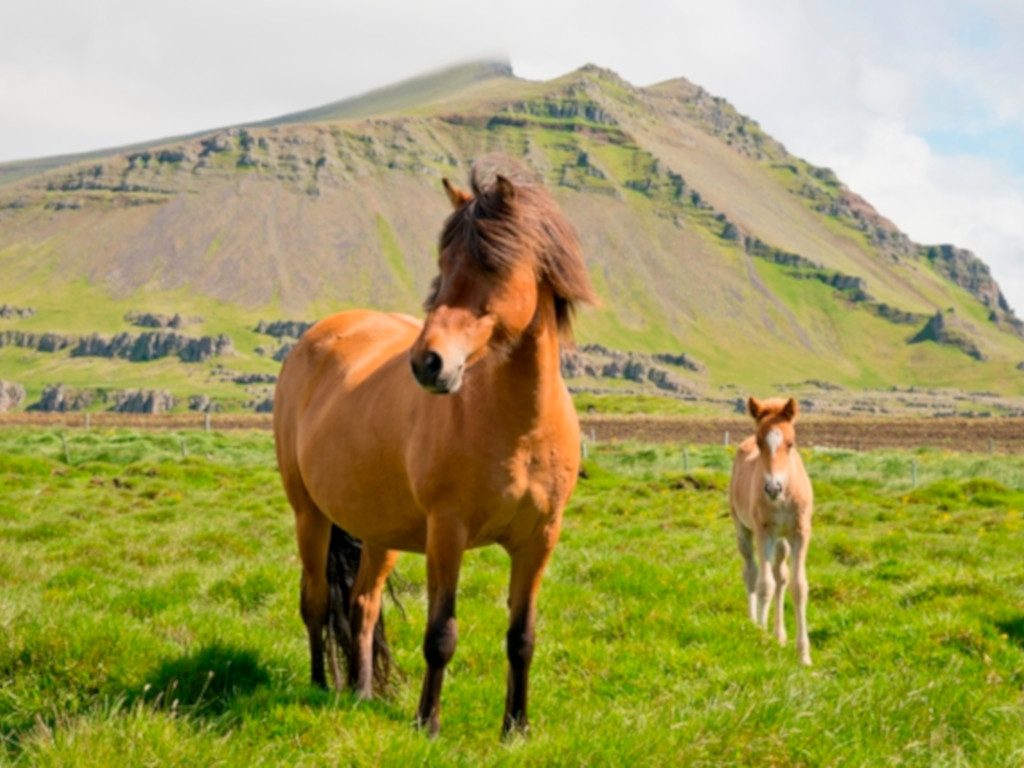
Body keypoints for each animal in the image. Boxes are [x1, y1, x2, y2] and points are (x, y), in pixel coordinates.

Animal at [272, 157, 598, 741]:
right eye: (444, 263)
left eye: (493, 265)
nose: (428, 363)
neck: (517, 430)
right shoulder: (448, 532)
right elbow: (441, 633)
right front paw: (428, 723)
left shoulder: (539, 539)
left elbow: (522, 637)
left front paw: (516, 728)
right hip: (310, 514)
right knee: (315, 602)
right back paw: (319, 685)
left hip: (380, 531)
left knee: (362, 605)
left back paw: (362, 692)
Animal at [729, 397, 815, 667]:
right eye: (759, 442)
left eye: (791, 442)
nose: (773, 488)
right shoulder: (763, 532)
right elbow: (764, 585)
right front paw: (762, 637)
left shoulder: (800, 533)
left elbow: (798, 586)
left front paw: (803, 654)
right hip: (744, 530)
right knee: (752, 573)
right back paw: (754, 623)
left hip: (781, 542)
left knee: (781, 576)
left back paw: (780, 635)